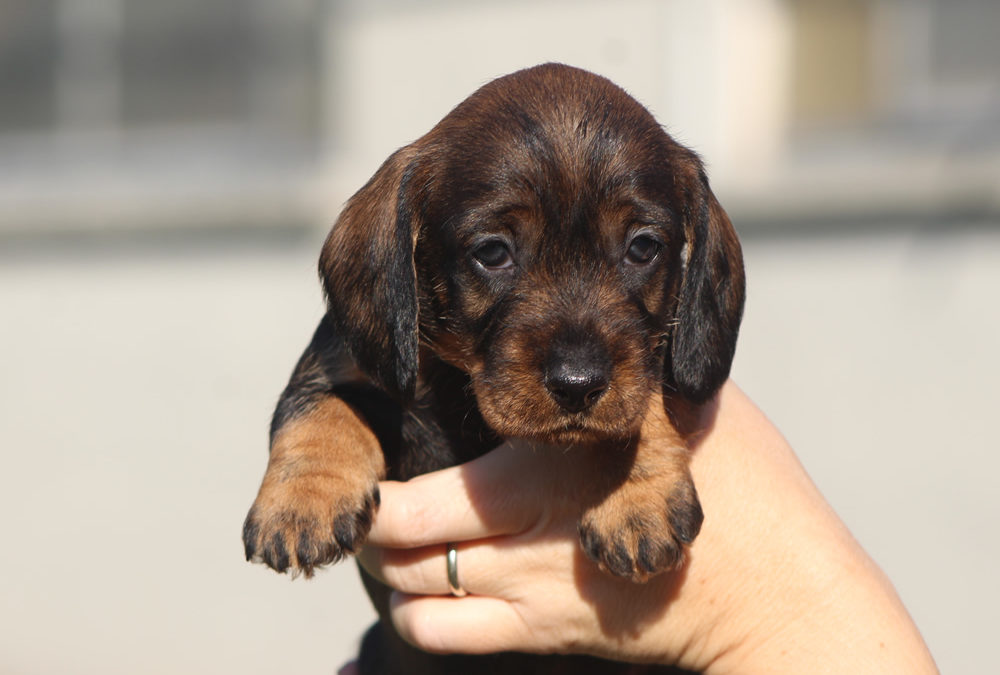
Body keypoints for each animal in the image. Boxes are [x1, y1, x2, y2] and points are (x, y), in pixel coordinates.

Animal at [242, 64, 744, 675]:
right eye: (493, 252)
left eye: (643, 247)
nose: (577, 385)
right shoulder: (335, 362)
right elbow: (321, 408)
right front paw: (301, 503)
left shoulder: (647, 365)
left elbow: (643, 396)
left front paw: (637, 499)